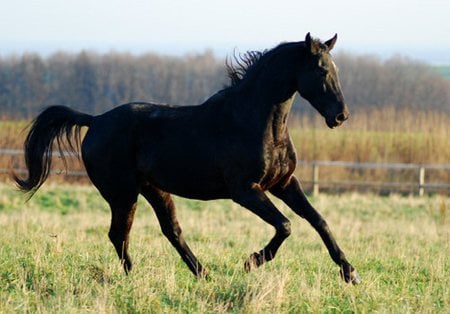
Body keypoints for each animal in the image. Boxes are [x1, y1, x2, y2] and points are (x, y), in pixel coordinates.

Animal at [14, 34, 362, 284]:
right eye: (321, 70)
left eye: (337, 70)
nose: (340, 116)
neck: (254, 122)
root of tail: (95, 120)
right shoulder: (245, 191)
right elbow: (286, 225)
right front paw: (251, 262)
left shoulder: (284, 183)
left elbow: (318, 220)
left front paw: (350, 273)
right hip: (123, 193)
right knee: (119, 234)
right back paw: (135, 278)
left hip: (153, 189)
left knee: (170, 231)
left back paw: (202, 274)